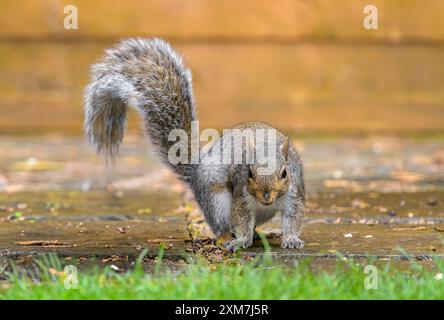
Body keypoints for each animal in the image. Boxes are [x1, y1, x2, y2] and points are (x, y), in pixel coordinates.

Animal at [83, 37, 306, 251]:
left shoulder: (294, 195)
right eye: (249, 172)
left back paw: (265, 233)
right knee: (223, 227)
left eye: (284, 173)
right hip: (216, 201)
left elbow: (293, 219)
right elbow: (241, 219)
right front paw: (241, 241)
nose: (266, 196)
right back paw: (229, 239)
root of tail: (196, 174)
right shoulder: (240, 196)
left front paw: (291, 239)